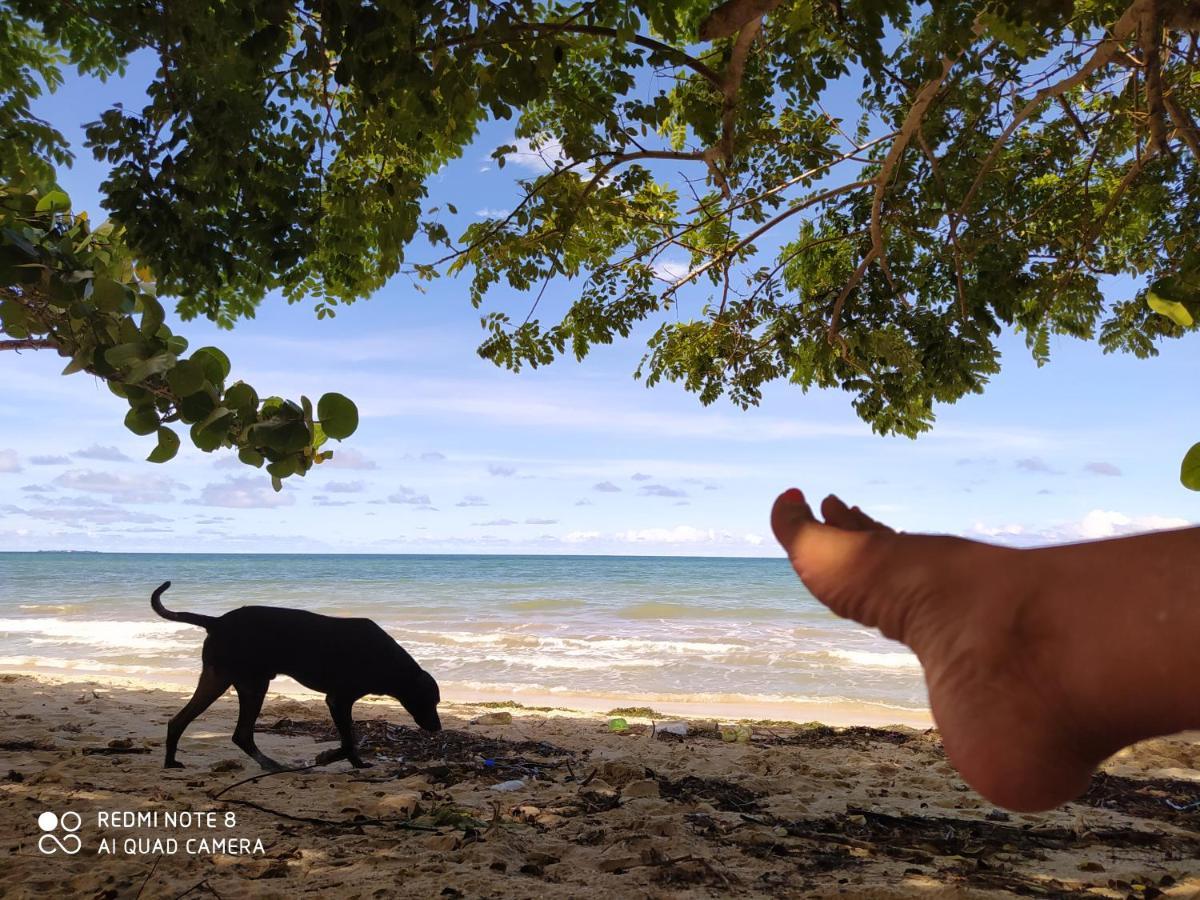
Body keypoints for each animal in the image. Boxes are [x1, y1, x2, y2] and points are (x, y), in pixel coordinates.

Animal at [150, 585, 441, 768]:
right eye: (430, 701)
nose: (438, 728)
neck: (388, 660)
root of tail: (217, 621)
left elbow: (349, 741)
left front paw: (353, 762)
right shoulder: (338, 700)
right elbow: (348, 741)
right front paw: (331, 756)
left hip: (229, 680)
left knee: (187, 723)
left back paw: (171, 762)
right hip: (244, 682)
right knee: (237, 733)